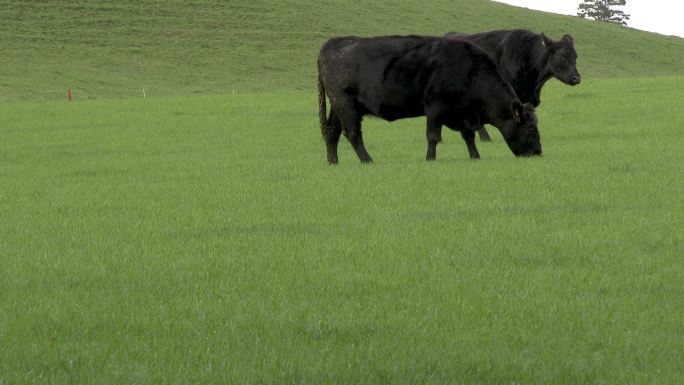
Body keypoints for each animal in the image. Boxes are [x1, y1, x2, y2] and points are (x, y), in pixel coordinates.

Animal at [318, 34, 544, 164]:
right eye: (532, 130)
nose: (538, 153)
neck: (471, 71)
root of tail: (333, 43)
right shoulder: (435, 108)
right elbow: (433, 136)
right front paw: (430, 159)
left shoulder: (463, 112)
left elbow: (468, 135)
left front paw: (475, 156)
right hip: (346, 104)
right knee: (353, 133)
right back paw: (367, 160)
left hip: (338, 107)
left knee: (332, 131)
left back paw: (333, 161)